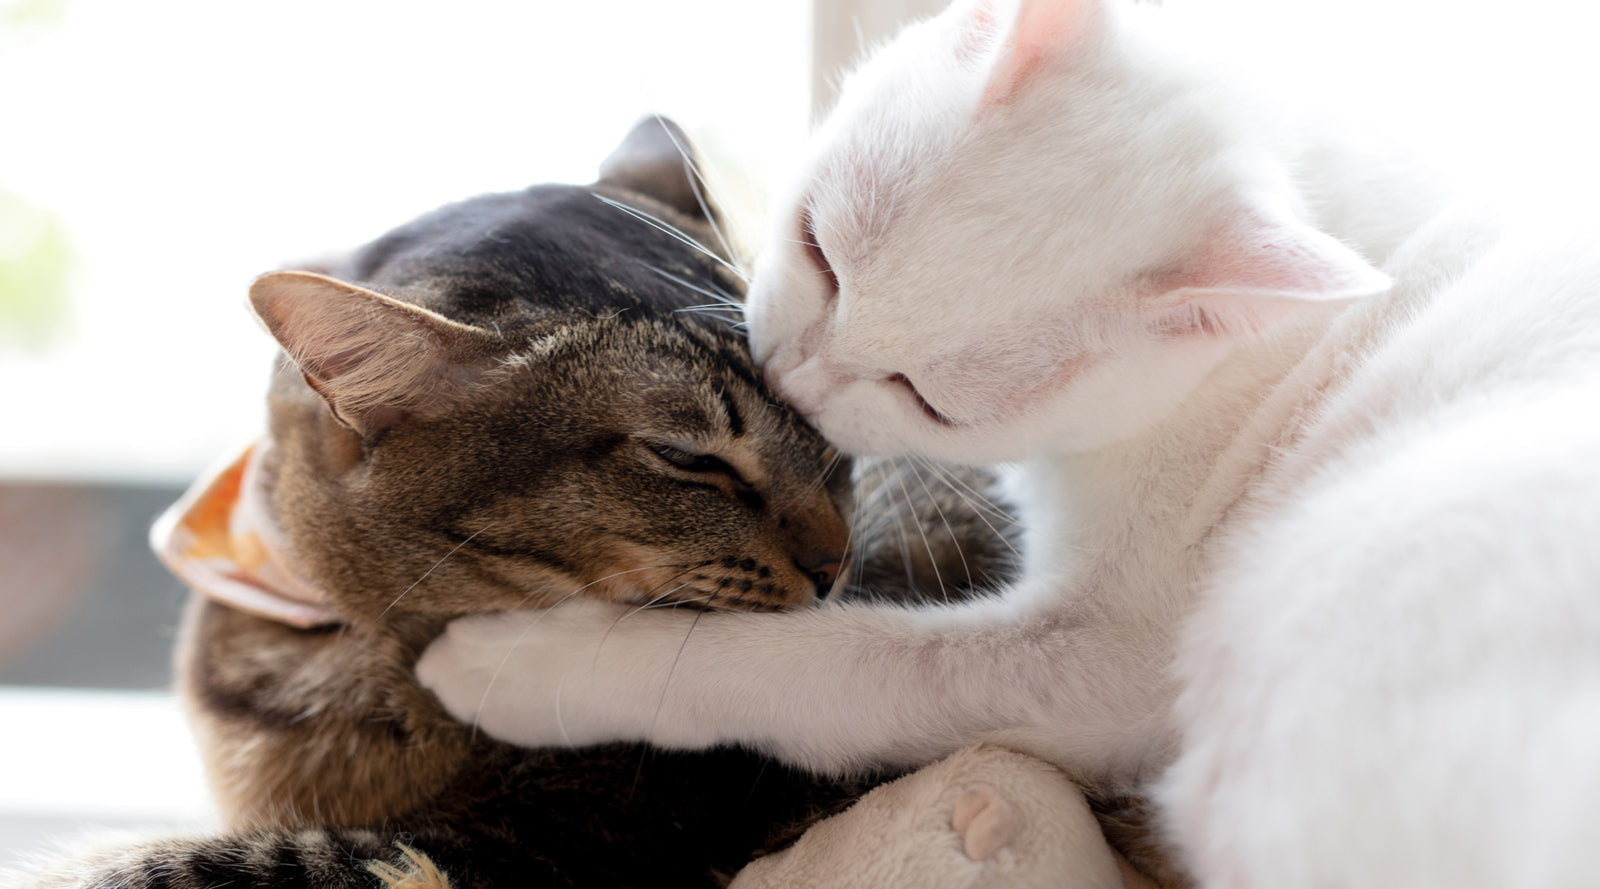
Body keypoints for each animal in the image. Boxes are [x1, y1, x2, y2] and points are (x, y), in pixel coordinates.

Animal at [12, 119, 1011, 889]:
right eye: (686, 457)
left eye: (812, 418)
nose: (836, 561)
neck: (340, 630)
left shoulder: (562, 842)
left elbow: (183, 861)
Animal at [422, 3, 1600, 882]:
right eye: (818, 249)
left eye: (929, 398)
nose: (793, 372)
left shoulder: (1107, 661)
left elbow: (825, 663)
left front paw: (529, 661)